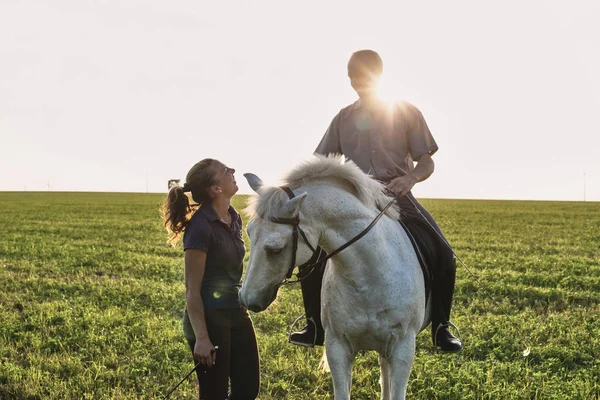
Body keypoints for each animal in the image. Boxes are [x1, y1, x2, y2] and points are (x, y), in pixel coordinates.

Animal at [239, 154, 432, 400]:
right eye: (249, 232)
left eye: (276, 249)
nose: (247, 299)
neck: (369, 278)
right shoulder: (338, 348)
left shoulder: (403, 349)